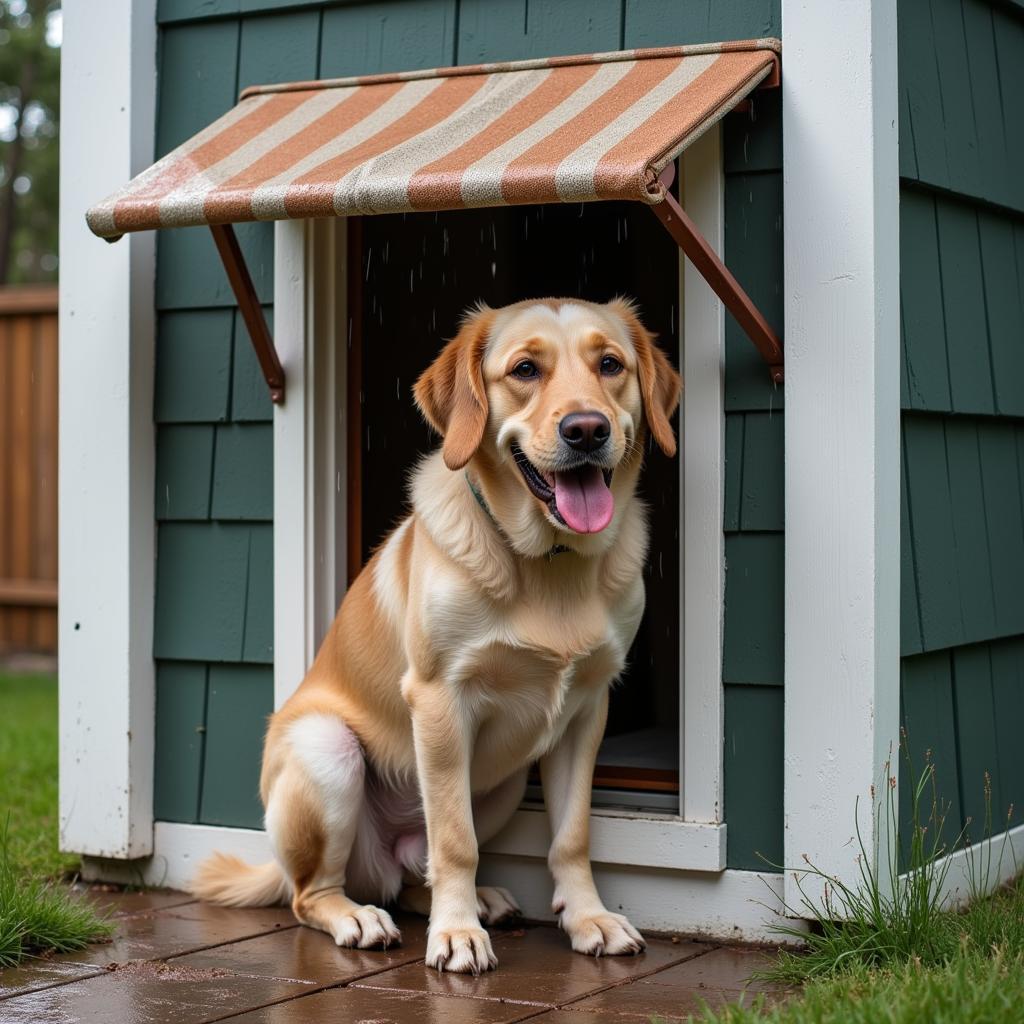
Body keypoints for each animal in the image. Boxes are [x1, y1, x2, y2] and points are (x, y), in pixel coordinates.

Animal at [193, 299, 679, 974]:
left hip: (505, 783)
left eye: (610, 364)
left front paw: (588, 919)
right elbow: (454, 839)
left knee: (412, 874)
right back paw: (360, 916)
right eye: (524, 369)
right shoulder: (440, 700)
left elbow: (571, 836)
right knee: (314, 893)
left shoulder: (587, 709)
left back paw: (479, 900)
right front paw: (456, 934)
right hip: (328, 751)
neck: (548, 562)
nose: (587, 430)